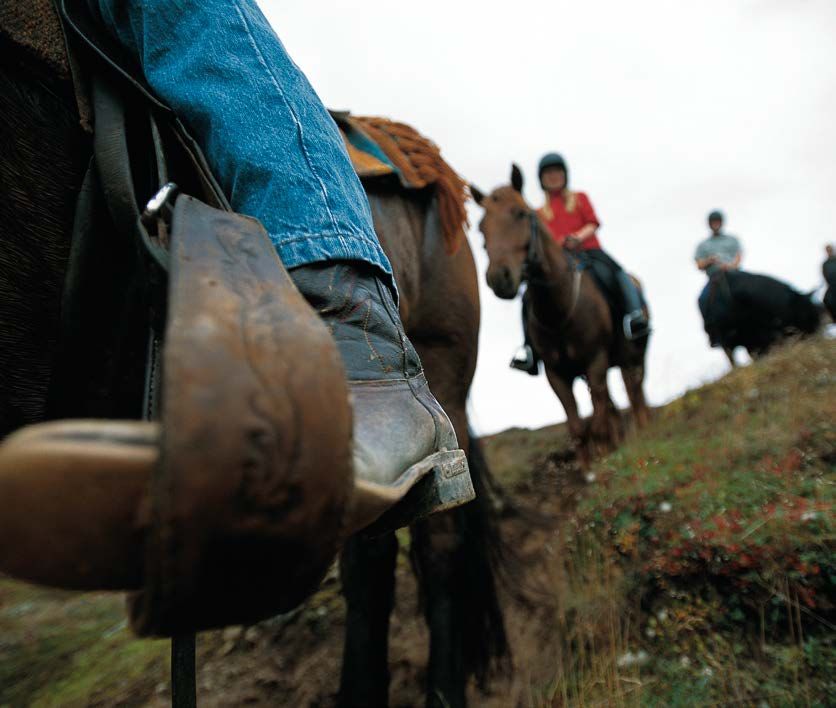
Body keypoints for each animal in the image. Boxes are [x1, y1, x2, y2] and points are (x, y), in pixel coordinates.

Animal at [474, 163, 648, 468]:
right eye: (481, 227)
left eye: (522, 213)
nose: (499, 278)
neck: (561, 310)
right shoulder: (556, 374)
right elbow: (578, 427)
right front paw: (589, 467)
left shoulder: (596, 360)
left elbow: (599, 420)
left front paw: (605, 460)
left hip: (633, 356)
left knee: (634, 395)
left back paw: (641, 432)